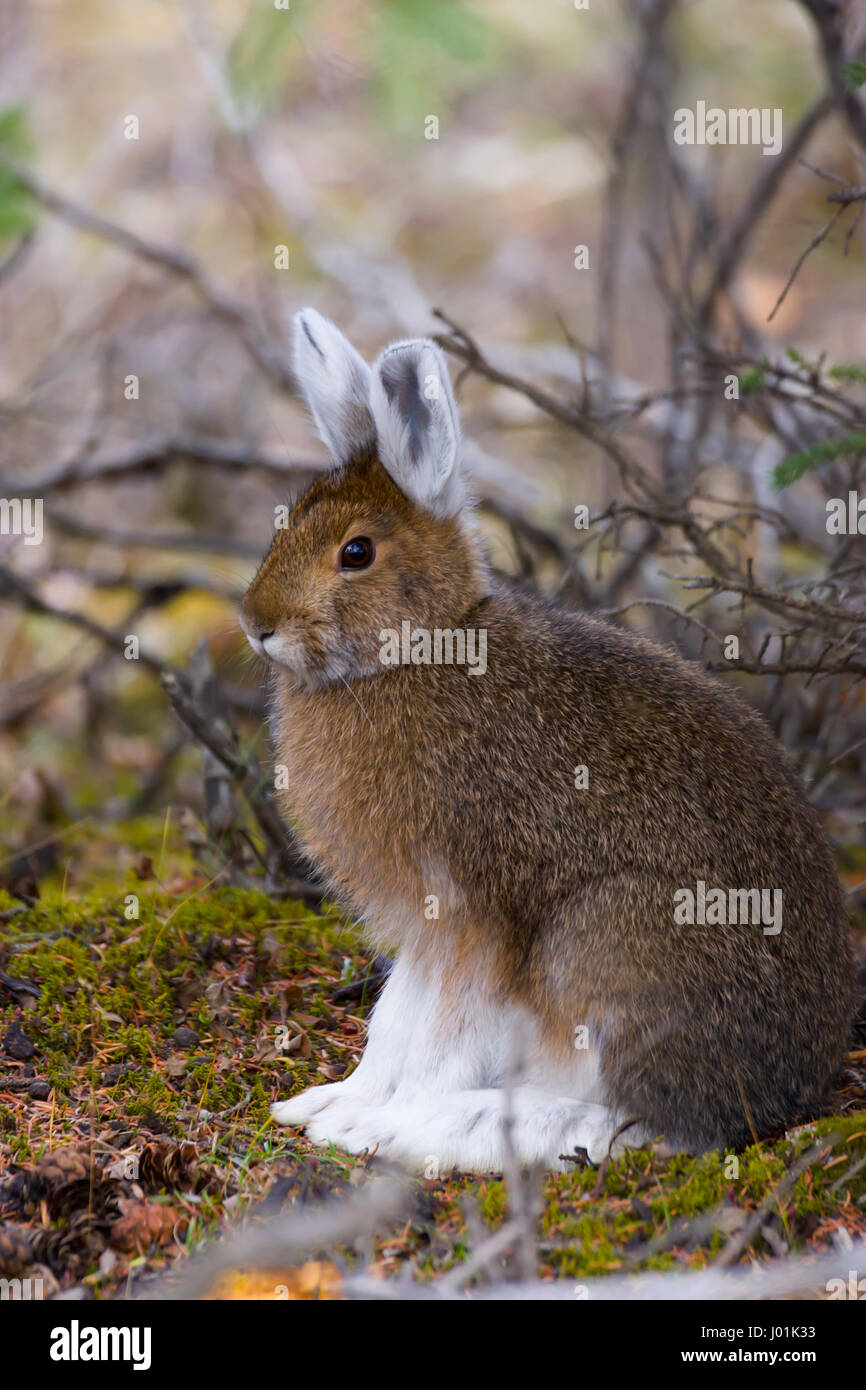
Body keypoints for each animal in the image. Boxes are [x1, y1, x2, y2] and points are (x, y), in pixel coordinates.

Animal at [240, 308, 856, 1173]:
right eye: (288, 519)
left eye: (355, 552)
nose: (255, 623)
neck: (419, 647)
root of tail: (793, 1086)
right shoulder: (425, 938)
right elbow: (394, 1024)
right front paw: (330, 1103)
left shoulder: (476, 917)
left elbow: (442, 1039)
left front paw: (373, 1125)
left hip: (607, 940)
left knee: (646, 1126)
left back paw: (447, 1129)